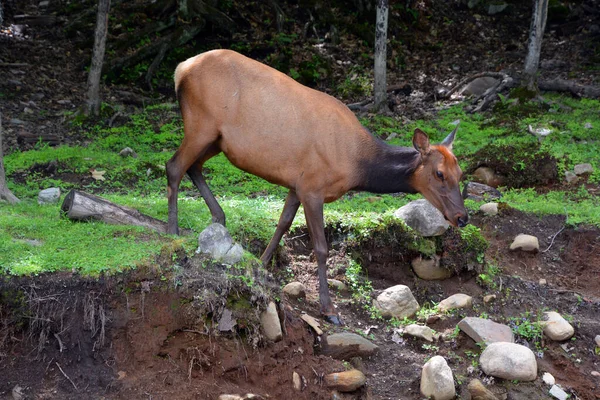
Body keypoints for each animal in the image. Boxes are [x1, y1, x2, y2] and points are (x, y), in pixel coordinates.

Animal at [169, 50, 468, 324]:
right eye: (439, 173)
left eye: (461, 172)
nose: (462, 217)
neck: (357, 164)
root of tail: (180, 69)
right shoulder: (313, 188)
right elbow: (321, 247)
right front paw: (329, 309)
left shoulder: (296, 184)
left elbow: (282, 224)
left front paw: (261, 266)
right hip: (201, 124)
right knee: (174, 166)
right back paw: (173, 230)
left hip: (216, 140)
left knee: (193, 168)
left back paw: (218, 217)